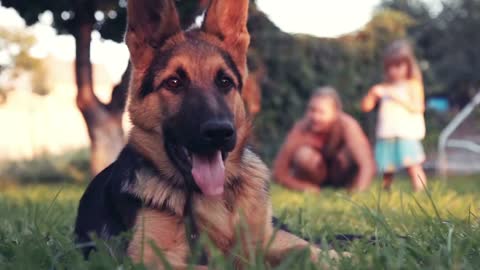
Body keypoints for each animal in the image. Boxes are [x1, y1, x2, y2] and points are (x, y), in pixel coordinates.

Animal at [74, 0, 342, 266]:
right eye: (173, 83)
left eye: (225, 82)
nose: (219, 132)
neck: (212, 198)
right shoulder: (152, 259)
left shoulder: (264, 241)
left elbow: (309, 250)